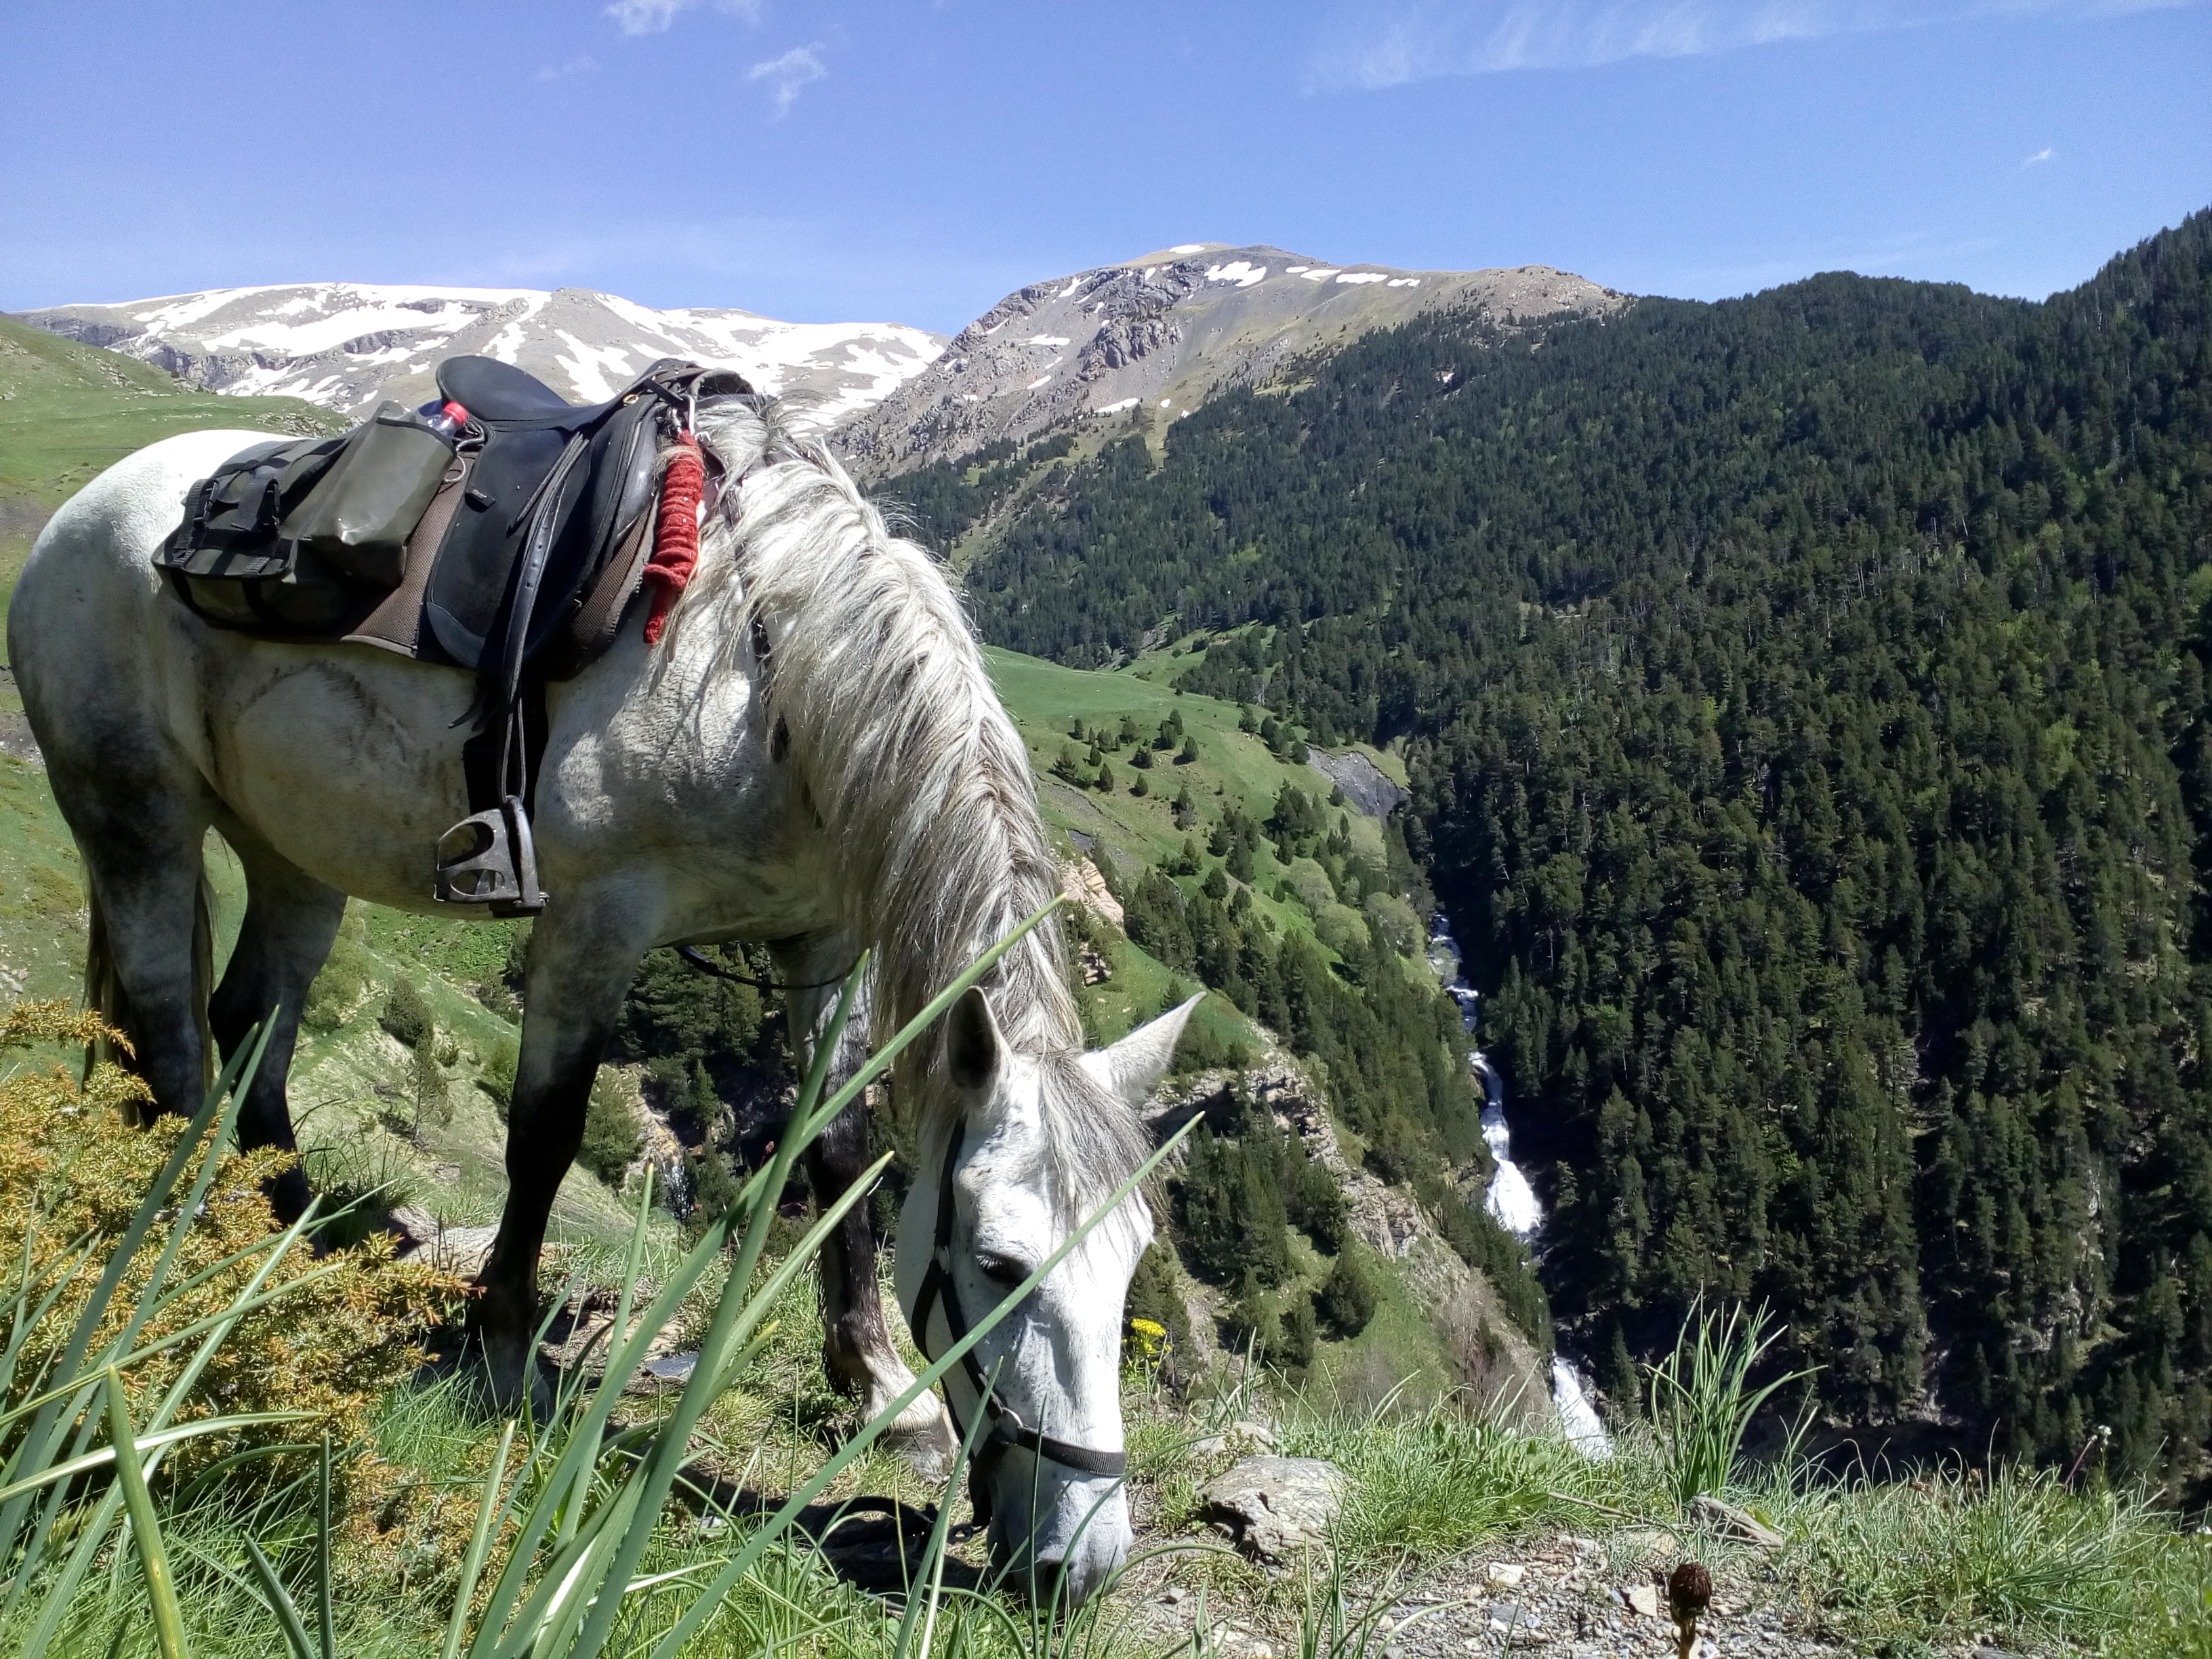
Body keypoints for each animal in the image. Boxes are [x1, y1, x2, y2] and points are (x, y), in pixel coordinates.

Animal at [7, 391, 1197, 1604]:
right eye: (998, 1265)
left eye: (1132, 1264)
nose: (1082, 1563)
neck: (766, 673)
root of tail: (103, 503)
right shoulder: (596, 924)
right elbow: (545, 1134)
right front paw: (505, 1352)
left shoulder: (825, 943)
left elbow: (837, 1153)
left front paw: (878, 1389)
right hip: (135, 813)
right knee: (168, 1025)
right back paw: (200, 1234)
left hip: (296, 848)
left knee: (256, 1021)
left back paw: (300, 1244)